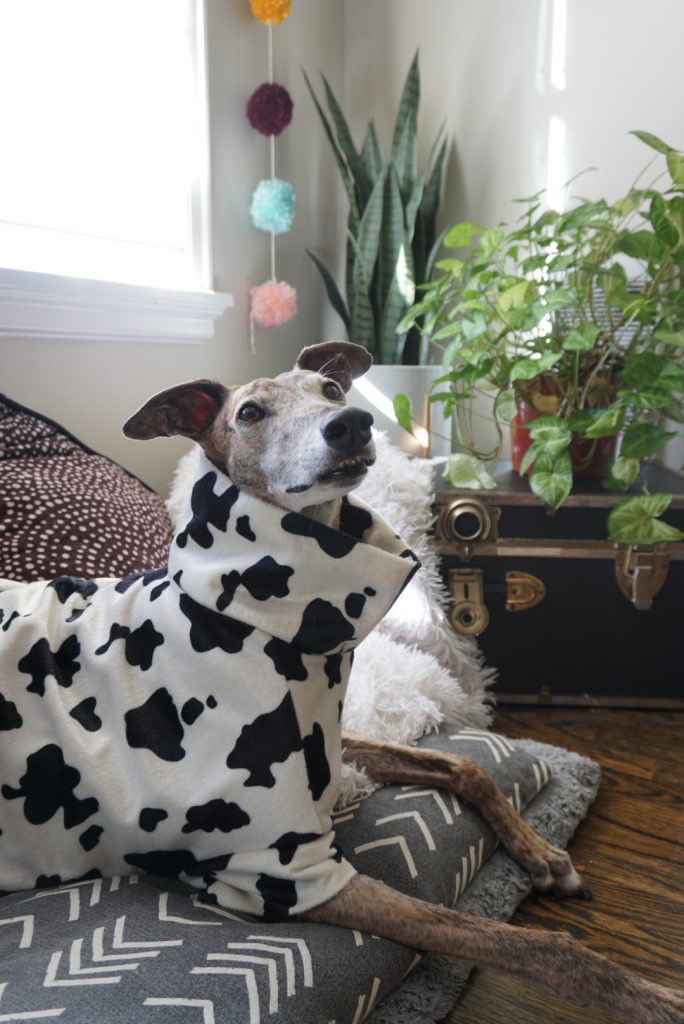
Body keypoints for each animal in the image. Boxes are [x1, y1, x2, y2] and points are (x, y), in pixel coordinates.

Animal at [0, 346, 679, 1024]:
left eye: (329, 389)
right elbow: (527, 945)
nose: (351, 423)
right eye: (249, 413)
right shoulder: (284, 872)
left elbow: (464, 767)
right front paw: (648, 996)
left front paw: (542, 855)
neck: (250, 617)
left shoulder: (328, 743)